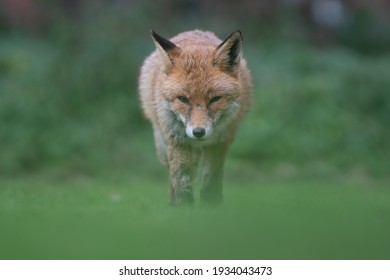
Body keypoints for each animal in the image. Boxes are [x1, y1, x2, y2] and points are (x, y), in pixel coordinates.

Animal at [139, 30, 251, 206]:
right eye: (183, 99)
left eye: (215, 99)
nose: (198, 132)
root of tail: (195, 31)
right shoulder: (177, 139)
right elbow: (181, 180)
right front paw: (184, 209)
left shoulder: (219, 143)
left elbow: (211, 181)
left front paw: (211, 206)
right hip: (162, 146)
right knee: (172, 175)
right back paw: (171, 204)